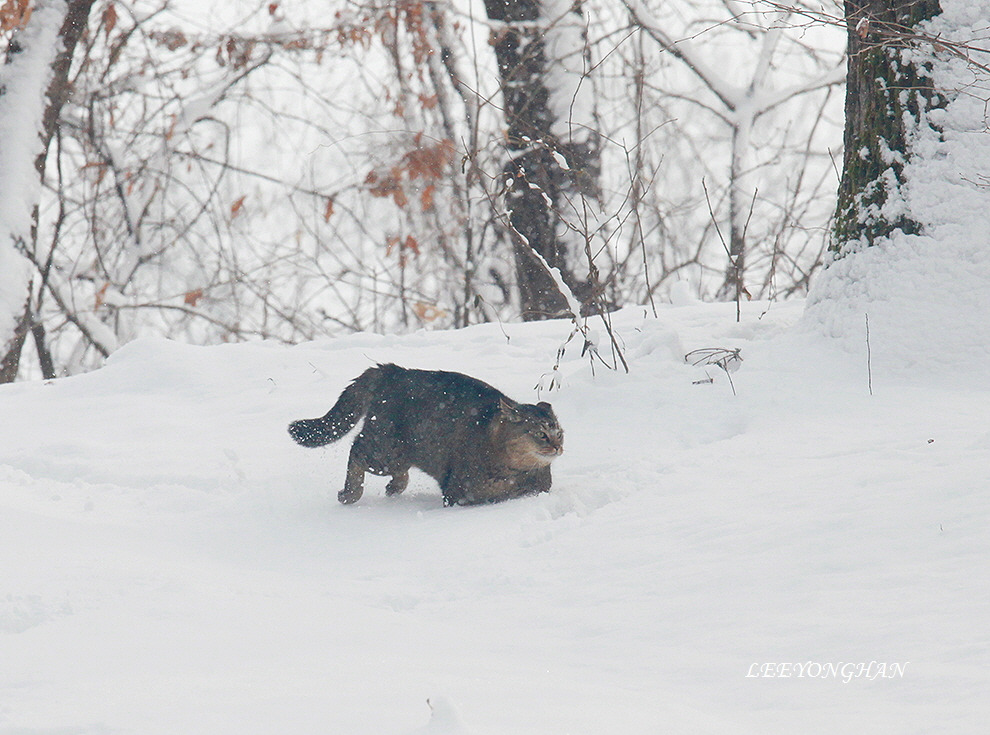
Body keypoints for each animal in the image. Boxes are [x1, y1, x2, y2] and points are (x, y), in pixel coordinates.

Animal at [288, 364, 564, 506]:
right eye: (541, 434)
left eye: (559, 433)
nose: (557, 446)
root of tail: (391, 370)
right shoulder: (459, 492)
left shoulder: (539, 487)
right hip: (384, 450)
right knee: (356, 449)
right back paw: (349, 494)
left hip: (399, 453)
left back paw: (393, 488)